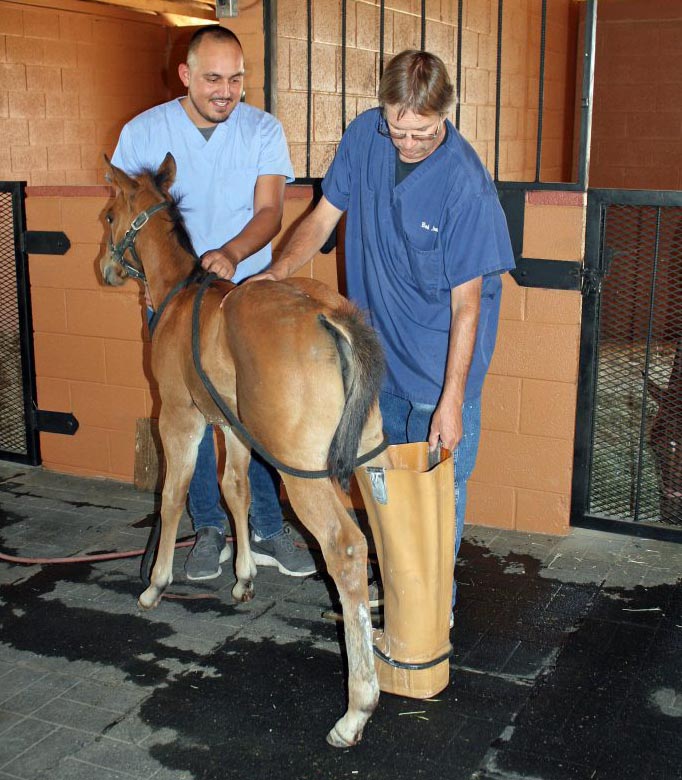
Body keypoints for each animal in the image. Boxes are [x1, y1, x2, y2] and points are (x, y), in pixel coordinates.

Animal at [100, 152, 392, 746]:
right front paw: (242, 577)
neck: (180, 296)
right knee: (385, 531)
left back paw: (357, 707)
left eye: (109, 215)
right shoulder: (232, 430)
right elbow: (235, 491)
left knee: (347, 548)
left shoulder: (180, 420)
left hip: (302, 473)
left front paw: (155, 585)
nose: (105, 268)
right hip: (369, 455)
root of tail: (330, 317)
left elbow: (172, 497)